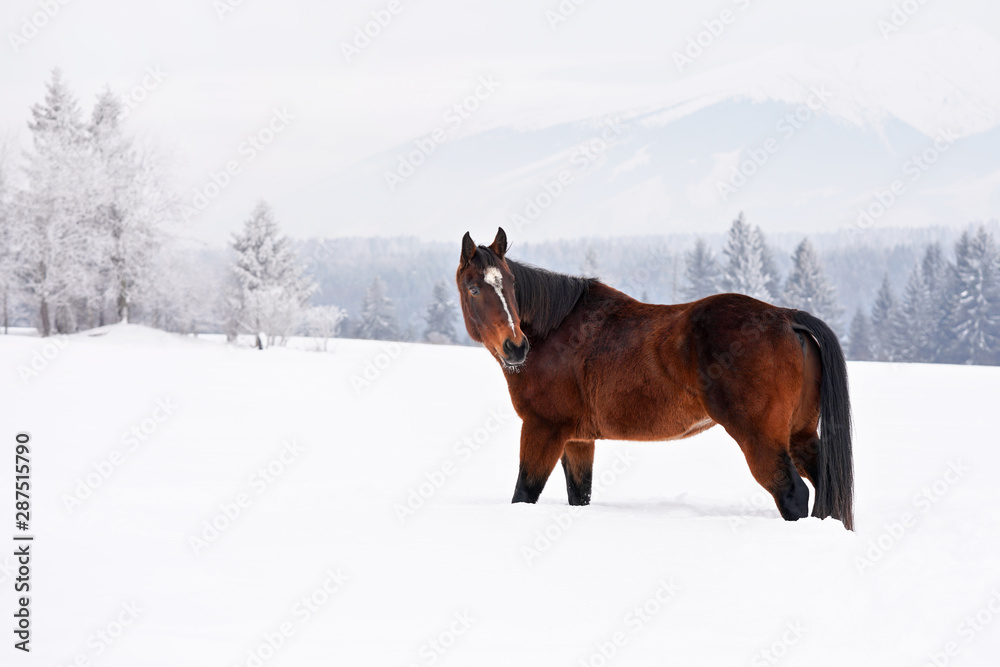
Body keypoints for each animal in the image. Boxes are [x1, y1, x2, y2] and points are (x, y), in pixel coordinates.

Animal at [456, 228, 854, 530]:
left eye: (509, 284)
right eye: (474, 288)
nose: (516, 347)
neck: (555, 331)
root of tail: (786, 317)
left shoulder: (543, 429)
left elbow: (524, 493)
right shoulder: (578, 439)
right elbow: (579, 496)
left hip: (763, 440)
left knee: (793, 494)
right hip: (800, 436)